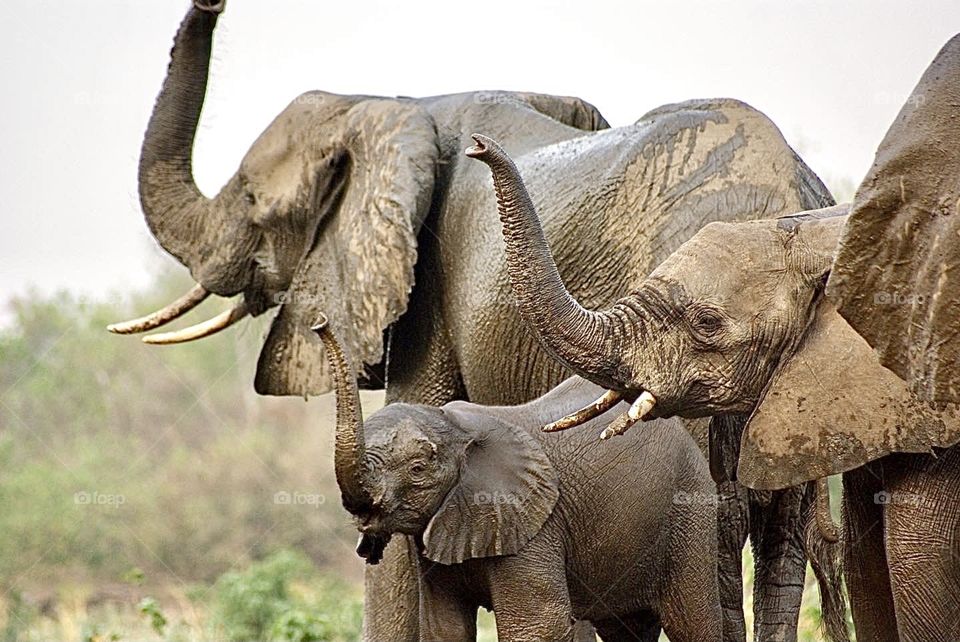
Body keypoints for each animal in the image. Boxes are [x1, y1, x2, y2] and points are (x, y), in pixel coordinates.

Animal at [312, 318, 724, 640]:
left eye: (417, 469)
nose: (319, 323)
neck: (457, 428)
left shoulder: (533, 526)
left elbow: (539, 625)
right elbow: (444, 626)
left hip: (689, 511)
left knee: (692, 618)